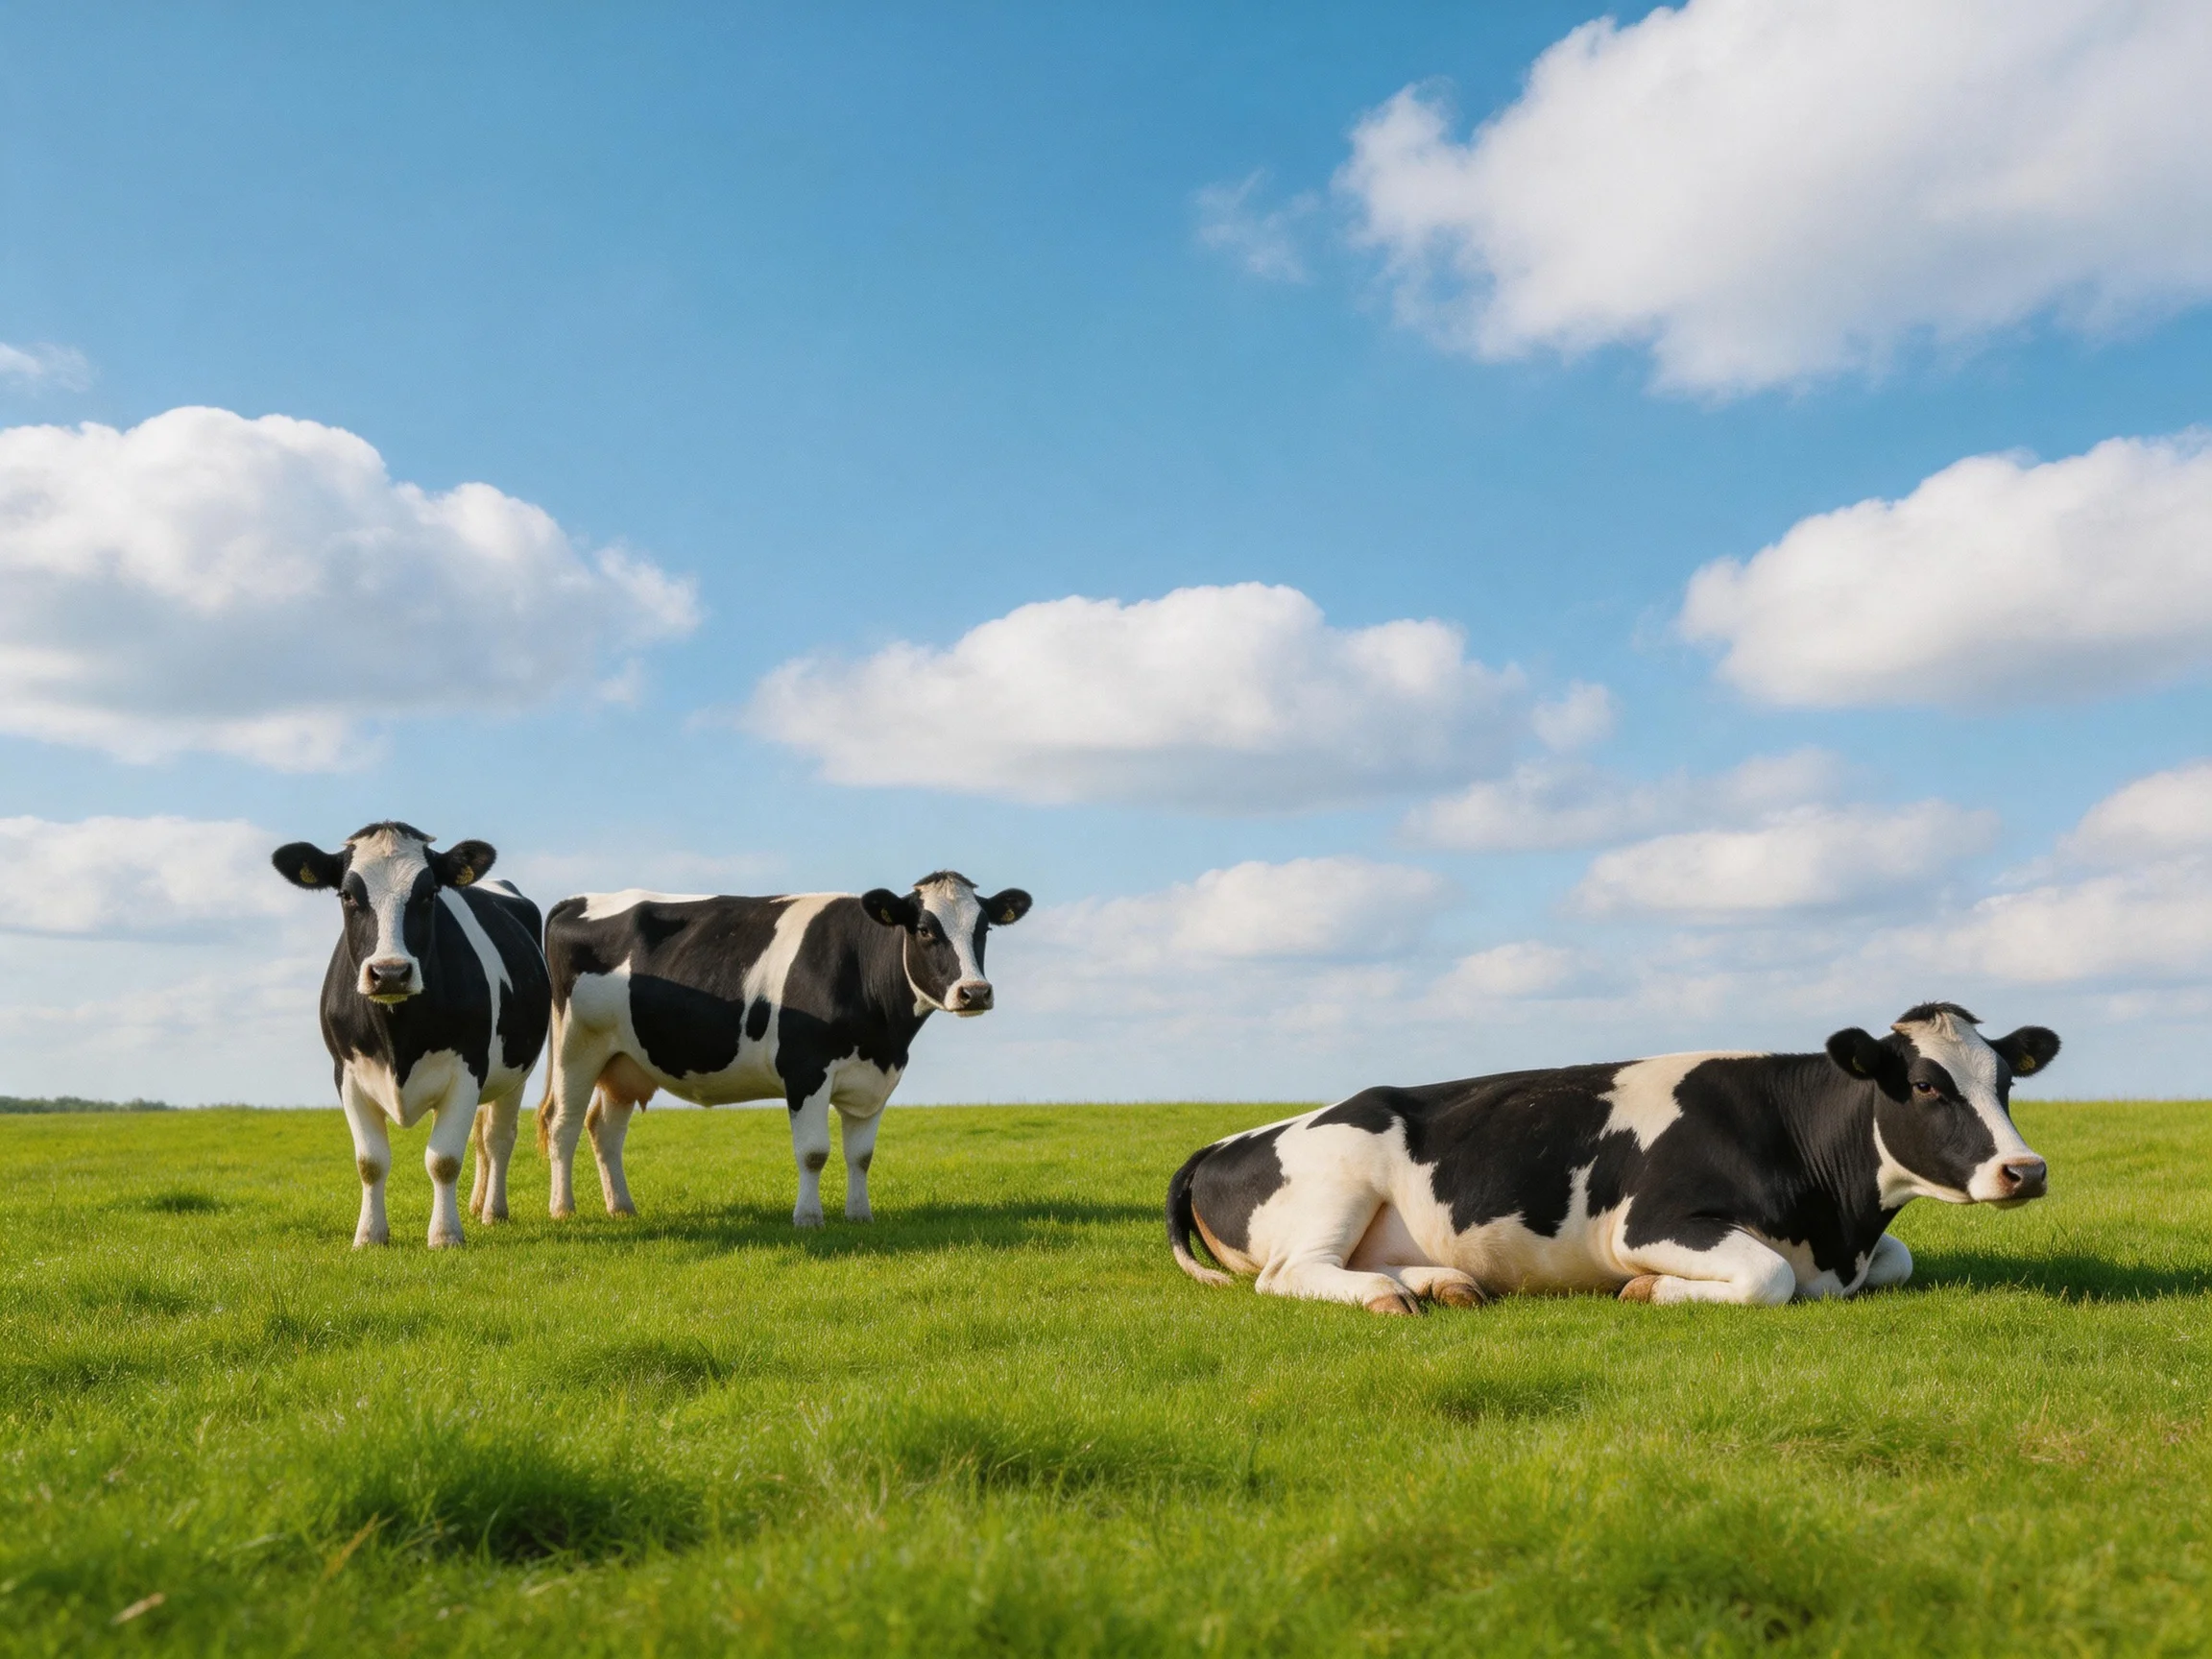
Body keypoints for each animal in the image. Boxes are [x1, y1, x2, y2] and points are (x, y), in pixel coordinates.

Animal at [273, 822, 552, 1248]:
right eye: (347, 894)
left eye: (428, 893)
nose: (389, 972)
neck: (397, 1038)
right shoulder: (347, 1074)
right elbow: (370, 1162)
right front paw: (370, 1235)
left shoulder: (468, 1069)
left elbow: (444, 1160)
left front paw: (445, 1234)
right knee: (482, 1140)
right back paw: (476, 1205)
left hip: (515, 1071)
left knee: (498, 1139)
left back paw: (492, 1211)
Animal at [535, 870, 1032, 1226]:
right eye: (926, 930)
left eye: (983, 929)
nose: (975, 992)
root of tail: (577, 900)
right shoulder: (806, 1069)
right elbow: (813, 1152)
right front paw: (809, 1218)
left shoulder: (875, 1080)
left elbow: (861, 1156)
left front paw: (860, 1215)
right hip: (577, 1045)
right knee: (563, 1123)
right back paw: (562, 1209)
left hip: (623, 1061)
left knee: (605, 1129)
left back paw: (621, 1206)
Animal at [1166, 1002, 2060, 1313]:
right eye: (1926, 1085)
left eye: (2007, 1080)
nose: (2026, 1170)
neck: (1840, 1230)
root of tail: (1231, 1138)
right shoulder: (1651, 1222)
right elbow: (1767, 1278)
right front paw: (1646, 1291)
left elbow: (1900, 1261)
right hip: (1338, 1179)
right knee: (1292, 1274)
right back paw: (1392, 1299)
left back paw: (1444, 1284)